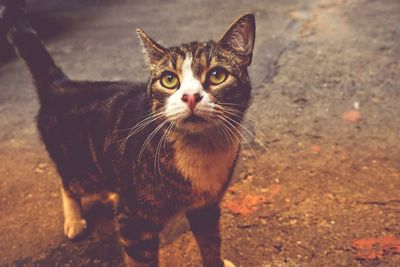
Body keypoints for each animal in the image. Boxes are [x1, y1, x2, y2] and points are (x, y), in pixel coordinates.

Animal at [1, 1, 255, 266]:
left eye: (217, 75)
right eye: (169, 79)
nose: (190, 97)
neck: (201, 148)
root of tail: (61, 84)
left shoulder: (205, 206)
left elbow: (211, 243)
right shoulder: (134, 222)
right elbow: (141, 258)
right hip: (81, 169)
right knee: (68, 184)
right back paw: (75, 221)